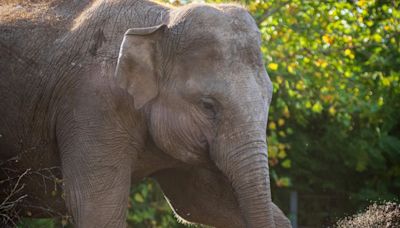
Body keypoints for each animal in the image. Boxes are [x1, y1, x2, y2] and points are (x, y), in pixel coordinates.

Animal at [0, 0, 290, 227]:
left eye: (269, 97)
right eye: (208, 105)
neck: (161, 22)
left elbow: (198, 202)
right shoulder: (91, 103)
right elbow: (95, 207)